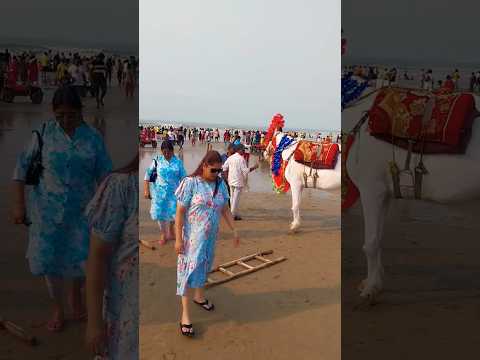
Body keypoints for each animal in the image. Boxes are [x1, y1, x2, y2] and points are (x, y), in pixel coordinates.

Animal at [344, 92, 480, 300]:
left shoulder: (371, 187)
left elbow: (371, 243)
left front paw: (370, 289)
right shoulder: (385, 192)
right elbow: (379, 238)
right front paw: (373, 282)